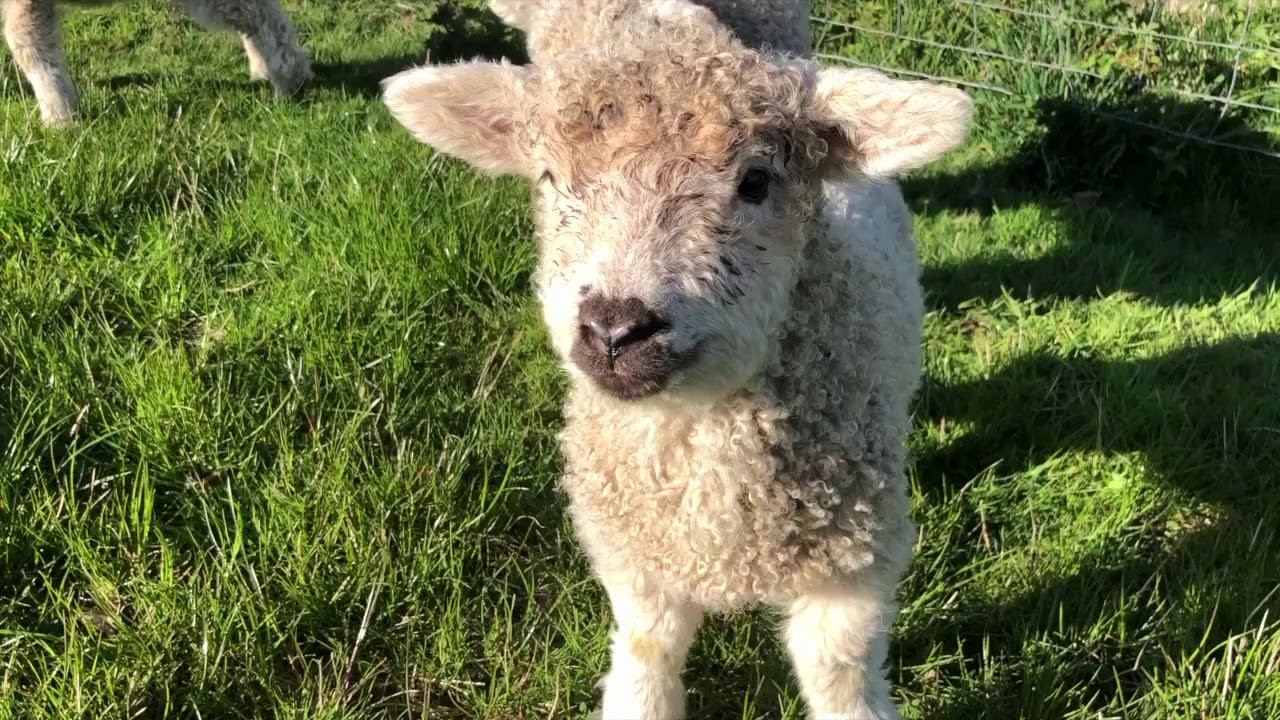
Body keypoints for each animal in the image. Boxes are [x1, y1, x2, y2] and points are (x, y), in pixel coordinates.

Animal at [382, 1, 972, 717]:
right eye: (549, 179)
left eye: (755, 181)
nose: (614, 328)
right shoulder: (637, 557)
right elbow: (648, 655)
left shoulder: (854, 567)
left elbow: (840, 674)